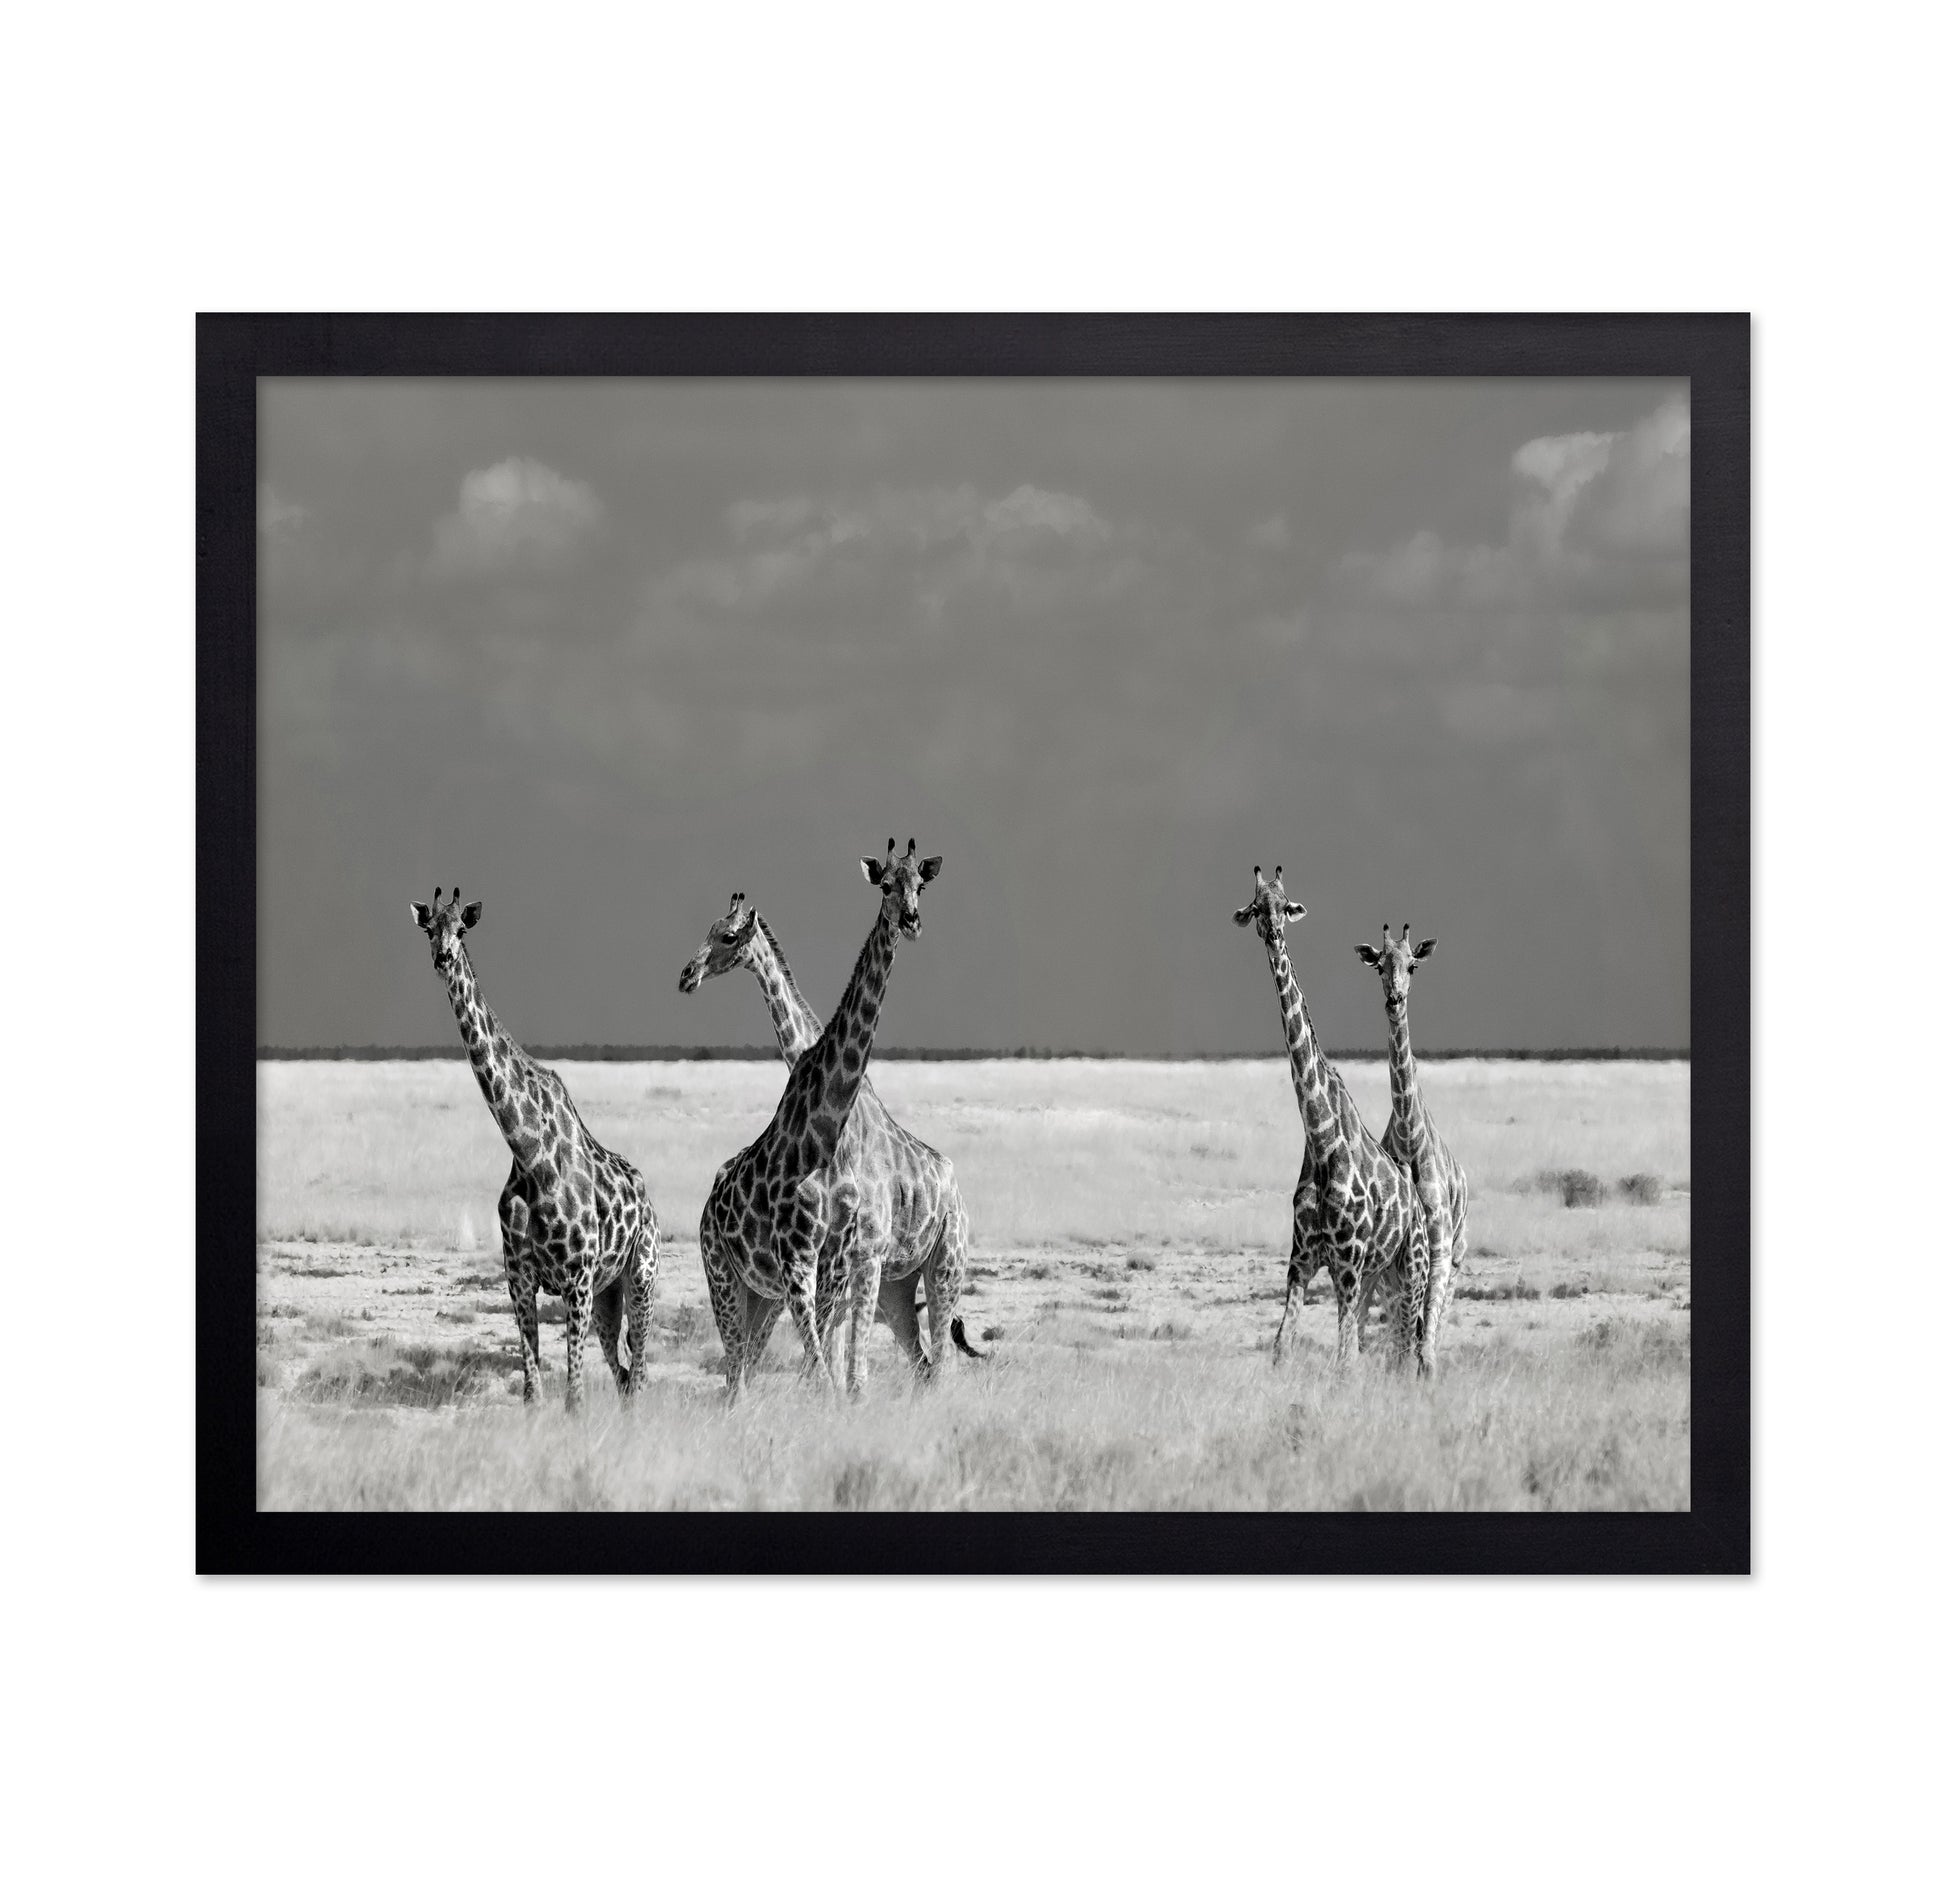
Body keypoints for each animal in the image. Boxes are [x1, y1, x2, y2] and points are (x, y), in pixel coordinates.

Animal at [410, 887, 660, 1410]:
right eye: (429, 929)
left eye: (461, 929)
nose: (444, 958)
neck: (529, 1154)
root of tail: (648, 1199)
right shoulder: (519, 1281)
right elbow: (532, 1391)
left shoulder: (577, 1282)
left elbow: (573, 1397)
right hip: (609, 1296)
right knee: (625, 1373)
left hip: (641, 1276)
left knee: (640, 1372)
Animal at [679, 890, 980, 1379]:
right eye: (710, 930)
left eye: (728, 936)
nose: (688, 975)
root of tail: (953, 1181)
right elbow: (832, 1360)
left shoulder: (858, 1256)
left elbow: (842, 1366)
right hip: (894, 1285)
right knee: (919, 1361)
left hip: (943, 1260)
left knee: (937, 1359)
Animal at [1232, 866, 1431, 1374]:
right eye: (1256, 908)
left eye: (1287, 905)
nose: (1274, 931)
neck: (1321, 1141)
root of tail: (1419, 1206)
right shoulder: (1301, 1261)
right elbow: (1282, 1347)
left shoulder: (1346, 1263)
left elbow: (1344, 1362)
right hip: (1380, 1272)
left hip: (1412, 1268)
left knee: (1413, 1346)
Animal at [1356, 921, 1470, 1373]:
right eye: (1378, 966)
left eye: (1413, 965)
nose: (1394, 999)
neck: (1409, 1135)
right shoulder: (1392, 1263)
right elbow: (1405, 1339)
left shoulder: (1438, 1251)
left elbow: (1426, 1345)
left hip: (1456, 1260)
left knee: (1429, 1331)